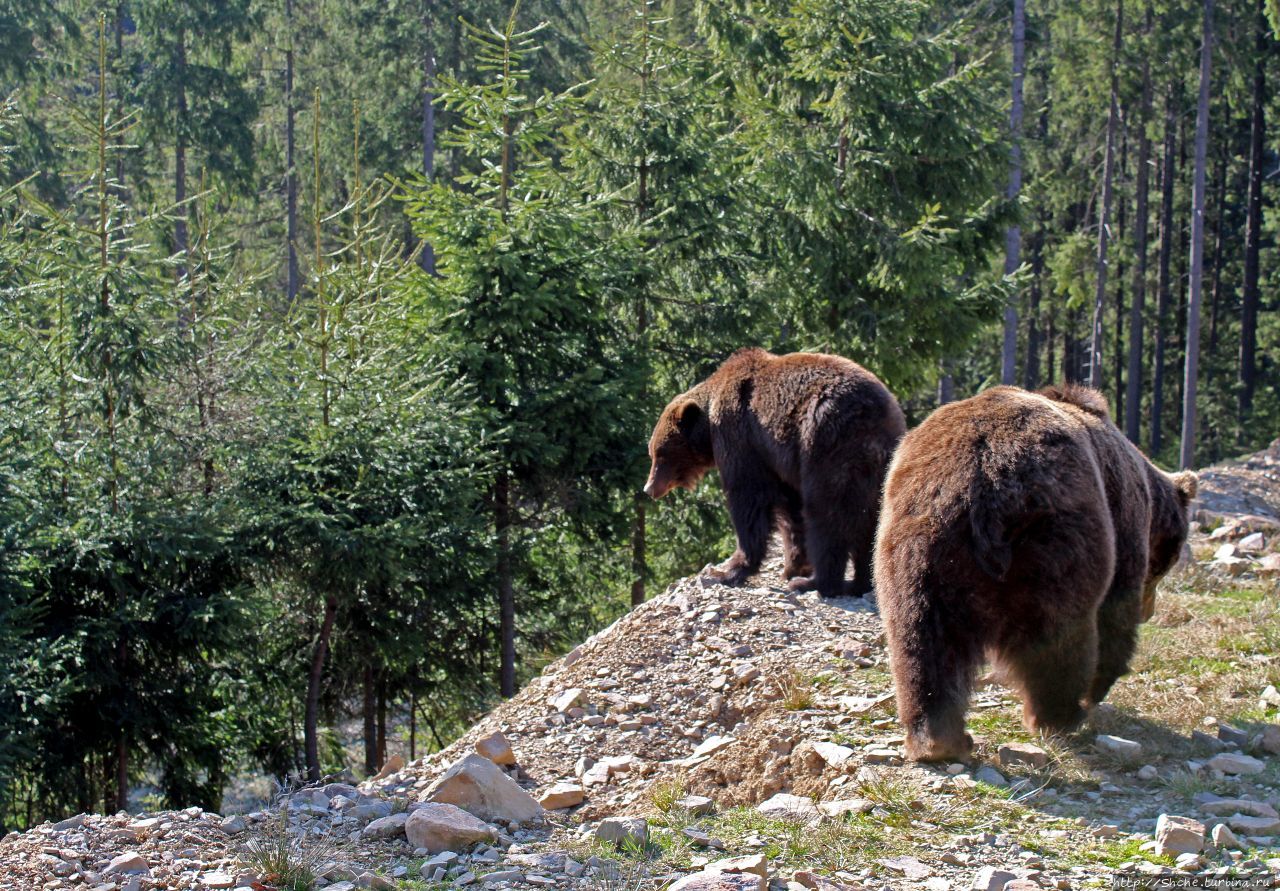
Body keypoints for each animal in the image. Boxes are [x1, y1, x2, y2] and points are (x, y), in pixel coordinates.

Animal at [645, 348, 906, 599]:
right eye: (653, 452)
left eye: (660, 454)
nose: (649, 488)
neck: (708, 425)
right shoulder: (780, 461)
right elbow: (790, 511)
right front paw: (794, 565)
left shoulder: (741, 437)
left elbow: (749, 497)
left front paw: (728, 570)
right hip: (877, 473)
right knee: (869, 524)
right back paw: (859, 583)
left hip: (828, 446)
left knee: (827, 515)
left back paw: (817, 583)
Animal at [875, 378, 1192, 762]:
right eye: (1166, 564)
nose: (1151, 611)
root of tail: (981, 478)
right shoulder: (1124, 519)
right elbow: (1116, 615)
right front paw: (1099, 689)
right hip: (1056, 540)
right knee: (1059, 636)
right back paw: (1060, 717)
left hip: (917, 547)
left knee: (922, 641)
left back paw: (939, 740)